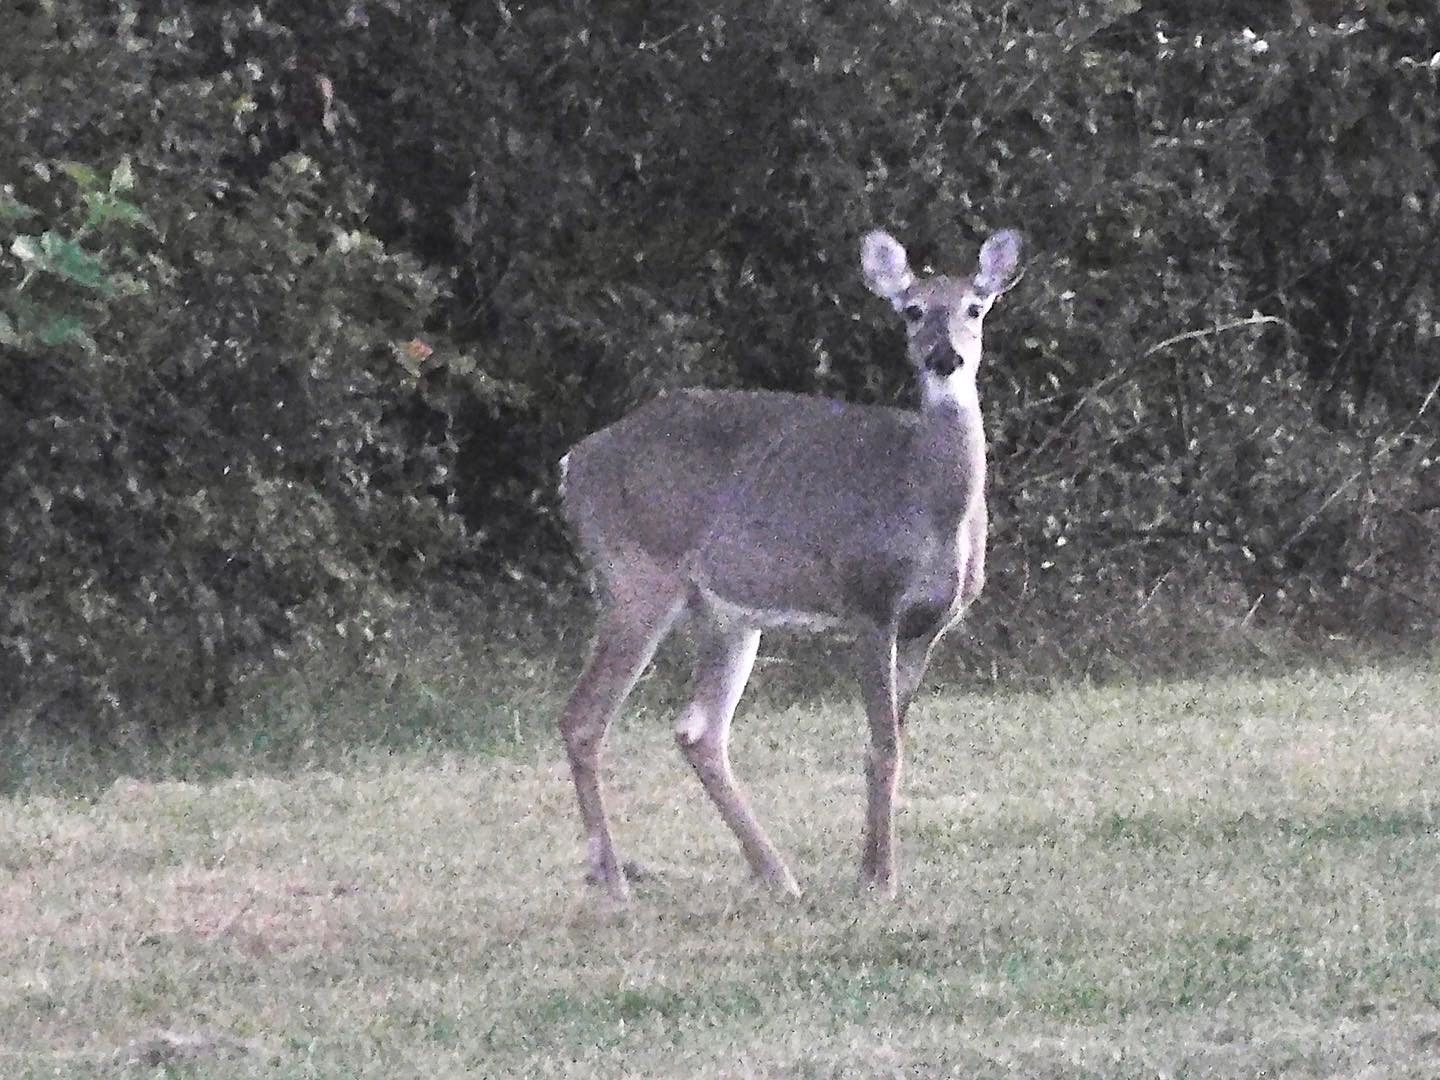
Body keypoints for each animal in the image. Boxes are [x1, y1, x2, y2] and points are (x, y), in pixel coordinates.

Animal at [556, 226, 1024, 901]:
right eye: (912, 310)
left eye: (975, 308)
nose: (944, 358)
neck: (926, 501)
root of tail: (572, 464)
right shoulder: (868, 602)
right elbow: (883, 744)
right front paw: (880, 880)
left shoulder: (928, 626)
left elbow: (892, 741)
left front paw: (871, 869)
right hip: (635, 577)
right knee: (583, 717)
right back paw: (614, 881)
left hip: (727, 614)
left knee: (698, 731)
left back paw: (777, 875)